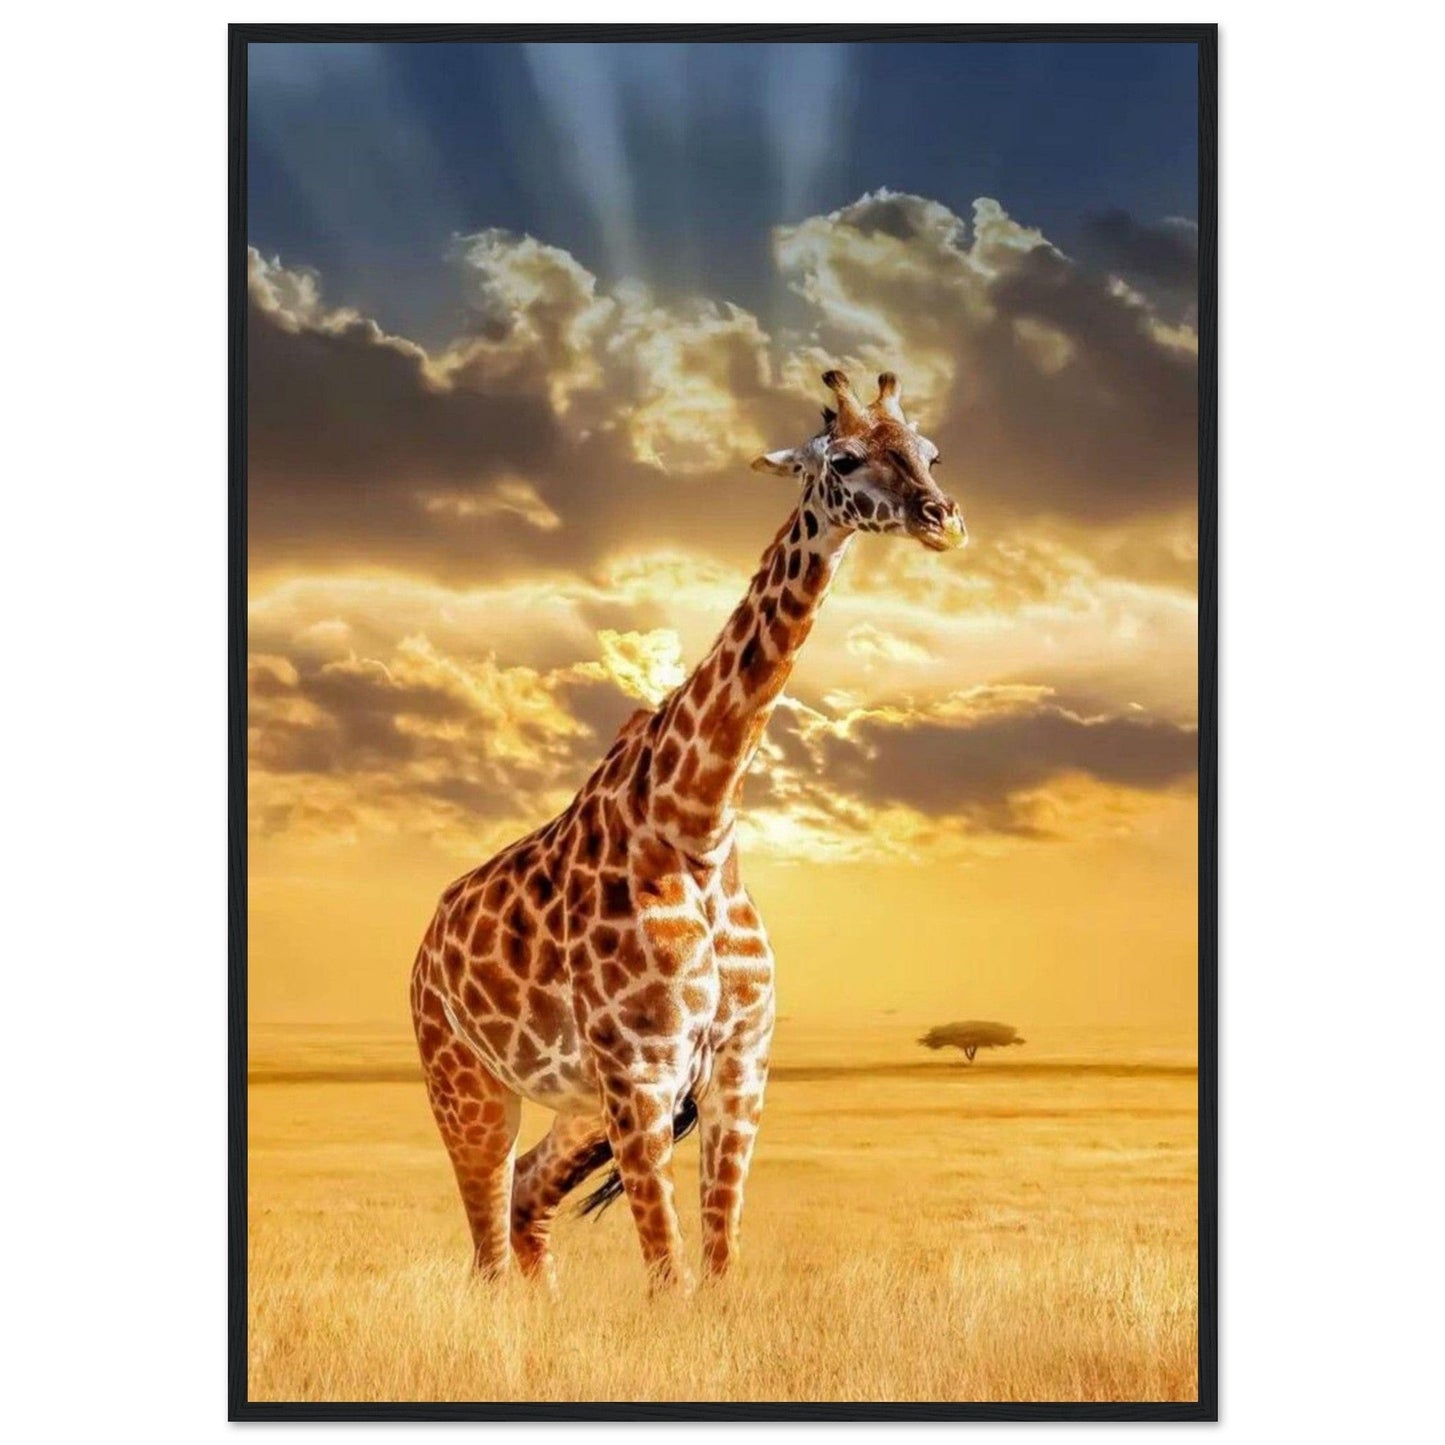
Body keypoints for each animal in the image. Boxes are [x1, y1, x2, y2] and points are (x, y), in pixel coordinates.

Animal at [410, 369, 966, 1291]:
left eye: (928, 451)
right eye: (844, 458)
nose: (943, 518)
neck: (697, 820)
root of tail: (423, 949)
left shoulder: (738, 1069)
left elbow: (719, 1266)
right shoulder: (643, 1070)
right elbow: (670, 1278)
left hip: (578, 1103)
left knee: (526, 1202)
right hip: (465, 1081)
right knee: (487, 1239)